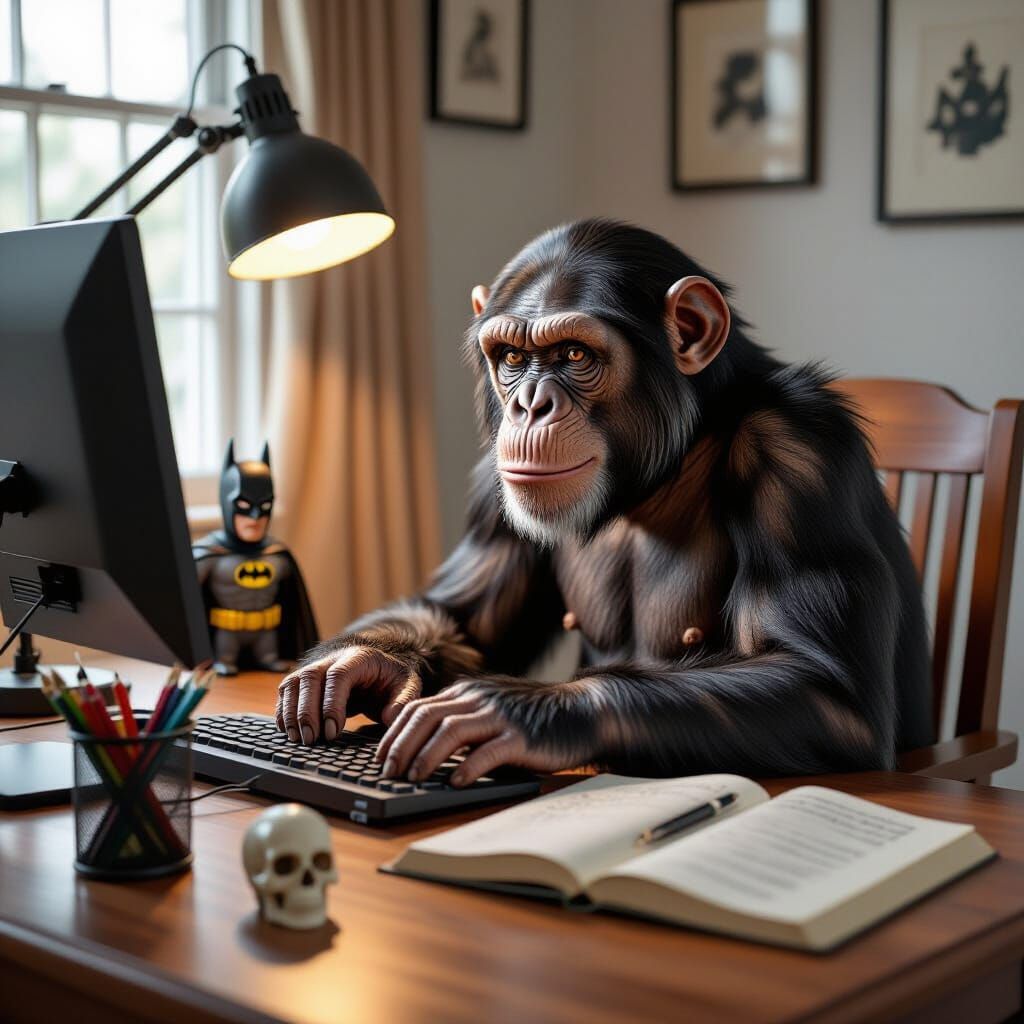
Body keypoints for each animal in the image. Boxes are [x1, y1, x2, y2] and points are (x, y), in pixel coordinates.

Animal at [276, 219, 932, 788]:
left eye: (573, 354)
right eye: (511, 358)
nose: (529, 406)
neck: (662, 470)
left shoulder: (799, 453)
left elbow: (824, 687)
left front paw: (518, 710)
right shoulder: (496, 488)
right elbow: (463, 619)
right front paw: (355, 664)